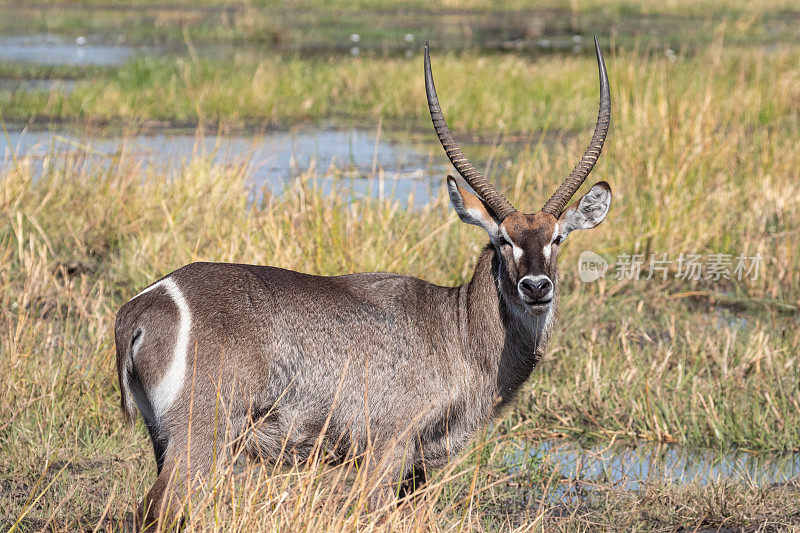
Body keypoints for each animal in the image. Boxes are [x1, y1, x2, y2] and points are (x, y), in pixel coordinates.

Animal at [114, 37, 612, 528]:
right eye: (503, 239)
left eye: (558, 237)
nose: (536, 287)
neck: (460, 330)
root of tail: (143, 305)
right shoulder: (388, 446)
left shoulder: (419, 466)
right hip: (199, 437)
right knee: (154, 510)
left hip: (165, 441)